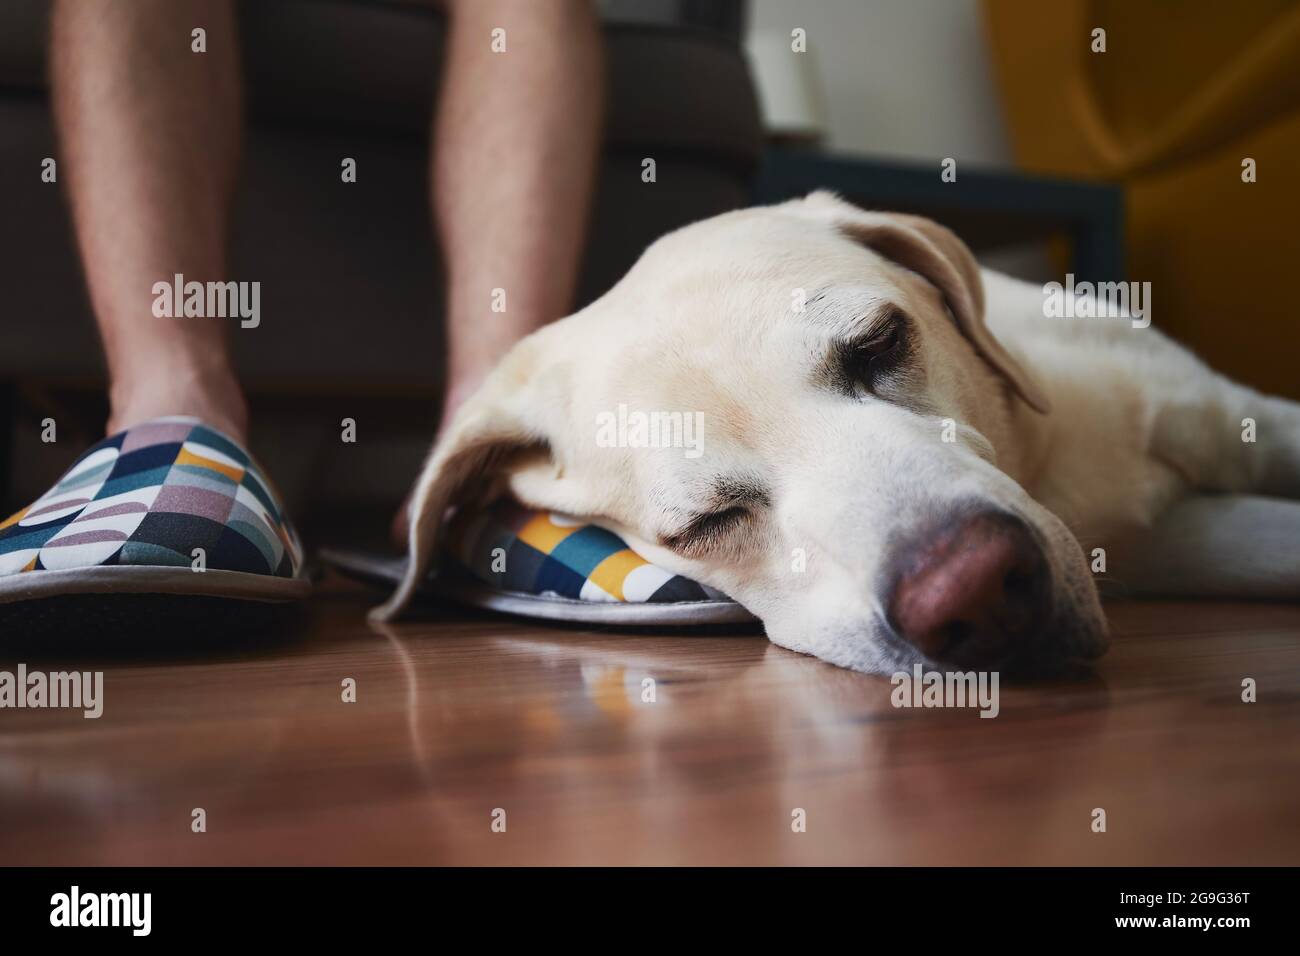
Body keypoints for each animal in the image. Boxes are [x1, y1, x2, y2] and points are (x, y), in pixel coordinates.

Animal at [374, 192, 1300, 671]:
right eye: (705, 525)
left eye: (880, 342)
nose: (972, 593)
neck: (1051, 461)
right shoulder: (1180, 539)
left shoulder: (1242, 424)